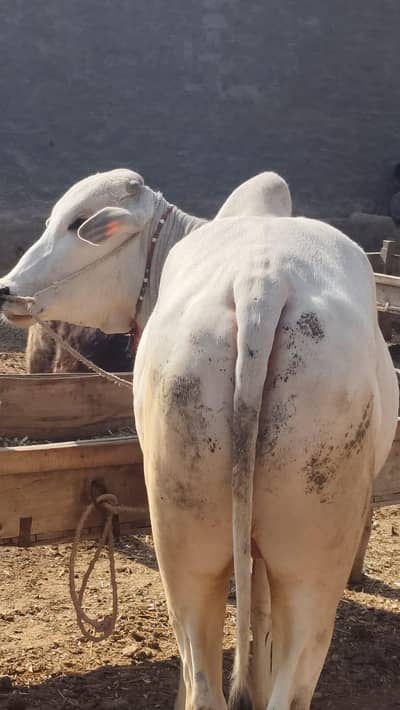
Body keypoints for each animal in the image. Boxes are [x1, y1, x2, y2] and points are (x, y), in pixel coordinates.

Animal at [0, 168, 397, 709]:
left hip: (192, 543)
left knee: (206, 677)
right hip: (292, 563)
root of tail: (260, 285)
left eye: (77, 223)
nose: (6, 290)